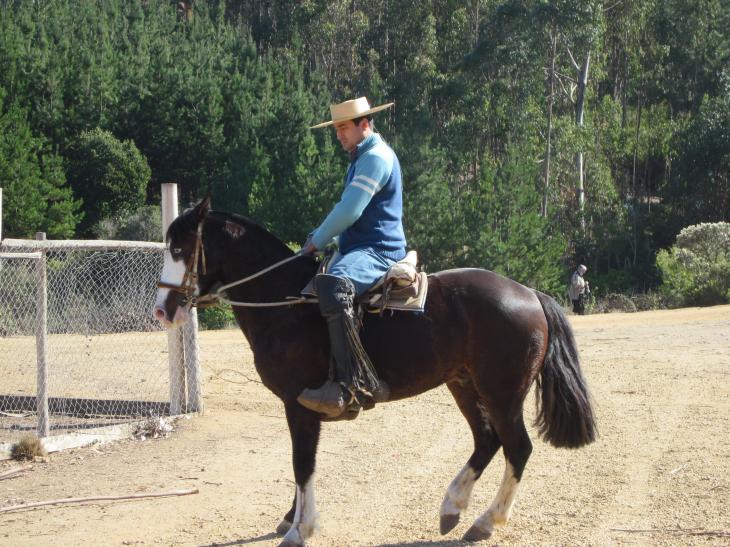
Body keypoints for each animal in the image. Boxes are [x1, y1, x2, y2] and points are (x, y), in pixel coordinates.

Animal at [153, 197, 596, 546]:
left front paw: (300, 530)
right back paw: (452, 507)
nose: (162, 310)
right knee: (486, 441)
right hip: (465, 386)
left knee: (517, 448)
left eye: (180, 247)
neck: (285, 301)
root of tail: (530, 294)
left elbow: (302, 464)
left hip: (502, 394)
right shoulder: (299, 409)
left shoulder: (299, 405)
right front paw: (291, 520)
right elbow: (301, 465)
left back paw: (486, 521)